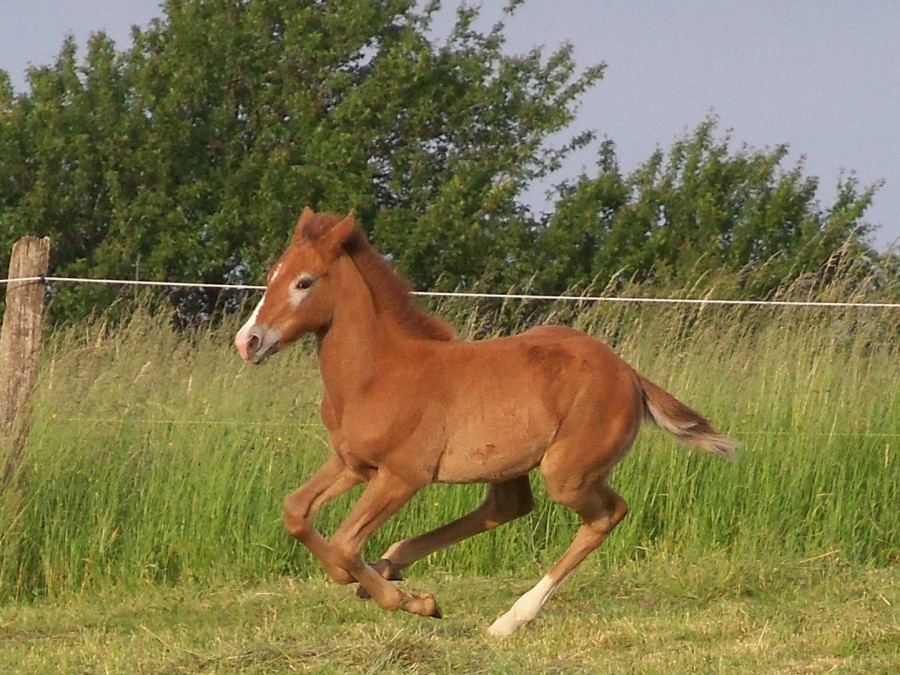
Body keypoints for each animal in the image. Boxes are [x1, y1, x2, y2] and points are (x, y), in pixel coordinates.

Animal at [236, 209, 736, 636]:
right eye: (272, 275)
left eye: (304, 282)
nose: (248, 341)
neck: (378, 373)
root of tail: (630, 375)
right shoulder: (352, 464)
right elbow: (296, 513)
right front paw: (383, 585)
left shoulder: (402, 476)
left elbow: (343, 544)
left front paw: (416, 603)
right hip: (512, 465)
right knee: (508, 508)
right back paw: (391, 565)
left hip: (568, 475)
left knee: (606, 514)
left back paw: (509, 619)